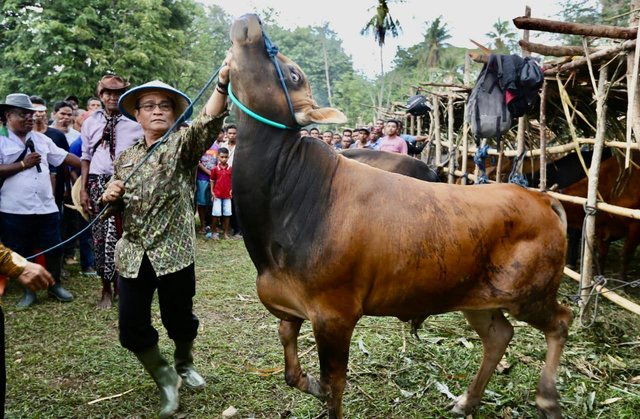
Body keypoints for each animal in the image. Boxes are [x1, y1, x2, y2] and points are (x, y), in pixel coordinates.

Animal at [228, 13, 572, 419]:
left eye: (294, 74)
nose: (251, 20)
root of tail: (539, 197)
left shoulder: (335, 315)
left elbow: (333, 387)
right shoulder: (288, 306)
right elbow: (292, 371)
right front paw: (305, 381)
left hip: (531, 295)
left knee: (560, 322)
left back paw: (547, 397)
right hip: (474, 295)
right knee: (499, 335)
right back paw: (467, 400)